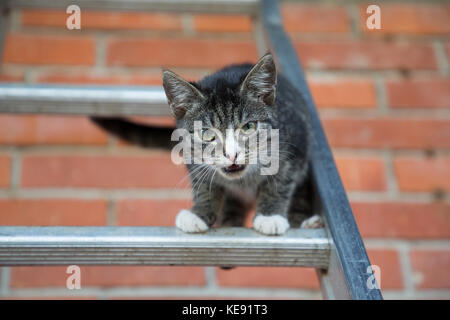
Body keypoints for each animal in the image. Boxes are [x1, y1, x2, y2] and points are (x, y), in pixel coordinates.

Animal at [92, 53, 324, 236]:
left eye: (248, 127)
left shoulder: (294, 143)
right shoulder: (190, 154)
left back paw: (307, 222)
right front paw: (199, 213)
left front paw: (270, 216)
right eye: (206, 134)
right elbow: (202, 183)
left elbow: (281, 180)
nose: (231, 154)